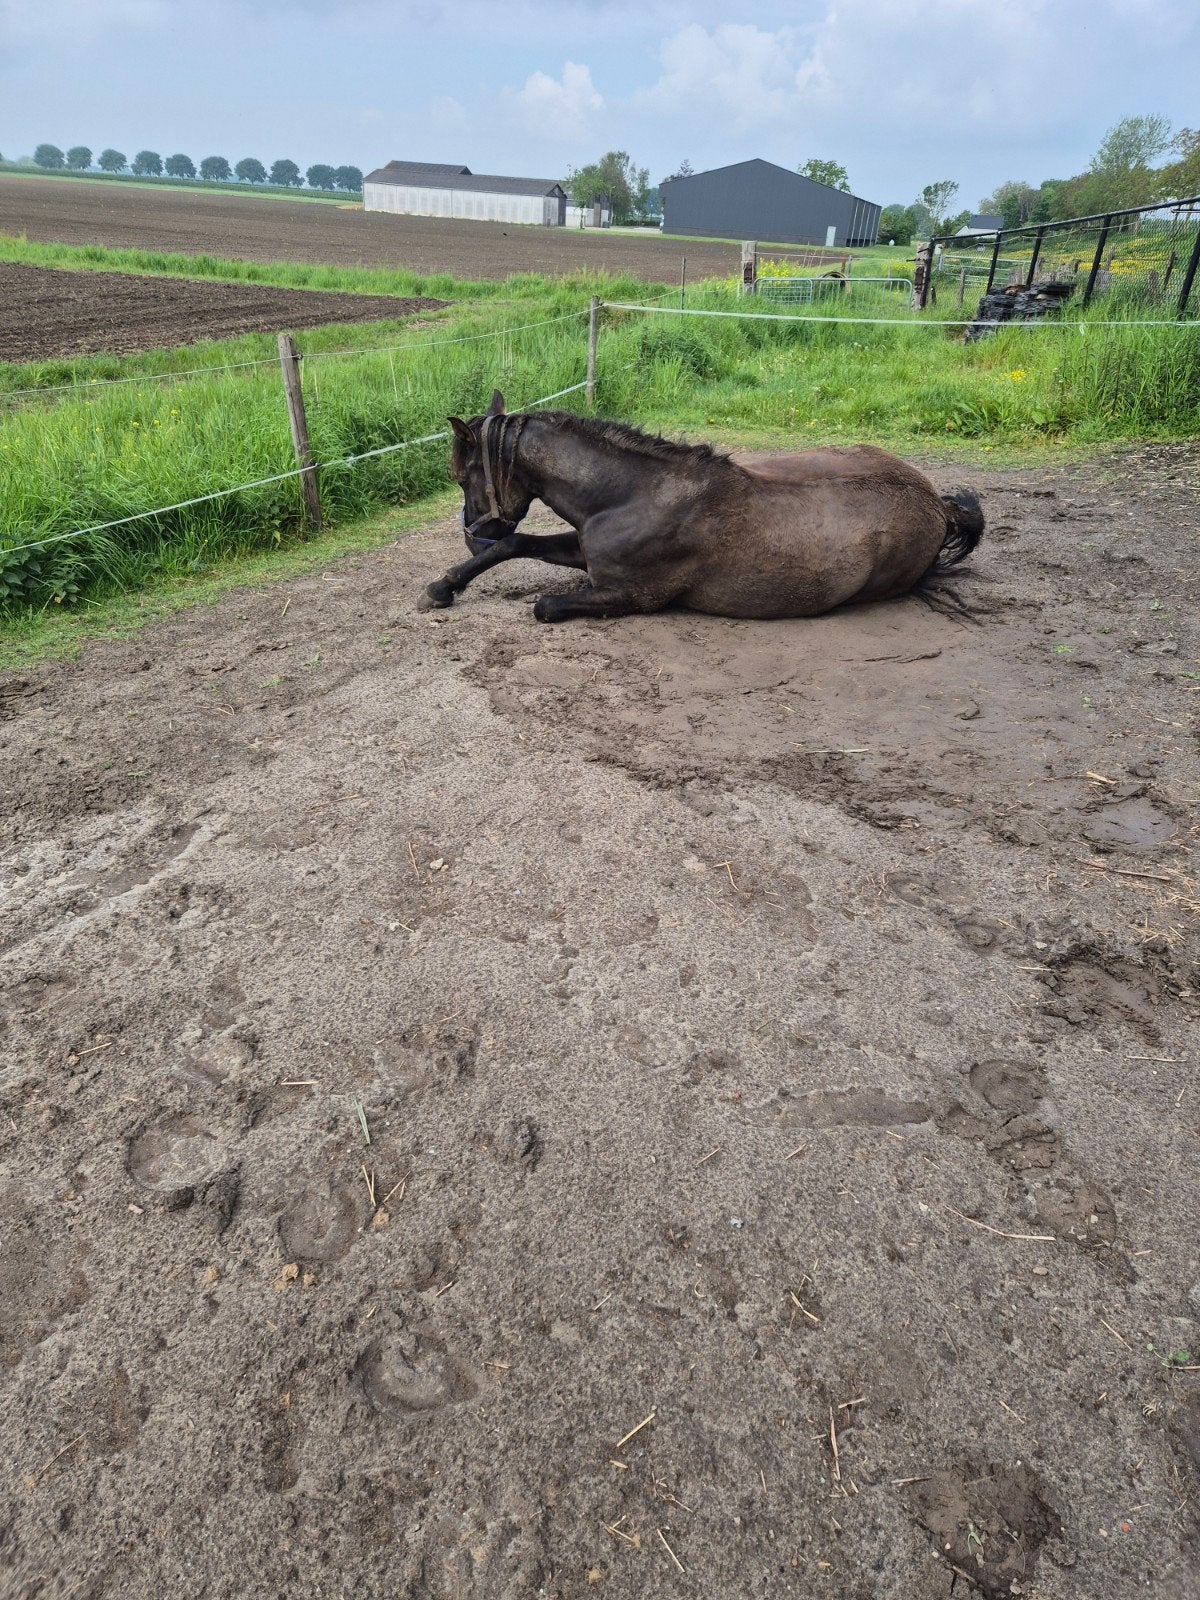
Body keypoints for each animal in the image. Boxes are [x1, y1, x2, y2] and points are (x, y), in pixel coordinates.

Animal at [420, 390, 983, 624]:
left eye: (461, 475)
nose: (472, 535)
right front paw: (442, 588)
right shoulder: (584, 547)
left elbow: (543, 606)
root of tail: (937, 504)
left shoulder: (633, 595)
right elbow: (517, 543)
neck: (633, 493)